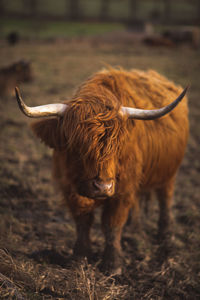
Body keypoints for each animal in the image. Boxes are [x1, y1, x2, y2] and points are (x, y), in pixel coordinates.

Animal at [14, 68, 188, 274]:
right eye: (77, 145)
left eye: (118, 147)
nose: (103, 187)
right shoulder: (70, 186)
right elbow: (83, 222)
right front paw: (79, 257)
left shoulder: (122, 189)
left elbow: (112, 224)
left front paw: (113, 265)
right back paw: (134, 229)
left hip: (168, 173)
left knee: (165, 199)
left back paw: (166, 236)